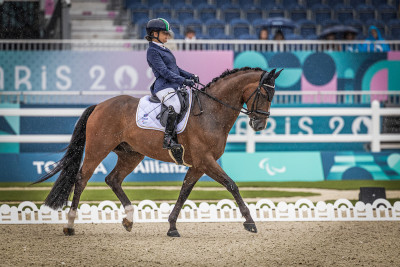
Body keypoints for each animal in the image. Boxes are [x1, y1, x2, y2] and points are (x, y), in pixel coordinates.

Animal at [36, 66, 282, 237]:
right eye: (263, 94)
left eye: (273, 96)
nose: (259, 125)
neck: (212, 112)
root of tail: (100, 105)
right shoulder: (206, 161)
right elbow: (231, 185)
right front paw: (250, 222)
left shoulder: (198, 165)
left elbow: (184, 192)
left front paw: (172, 226)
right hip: (98, 149)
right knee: (81, 179)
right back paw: (70, 225)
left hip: (131, 154)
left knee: (113, 179)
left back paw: (129, 219)